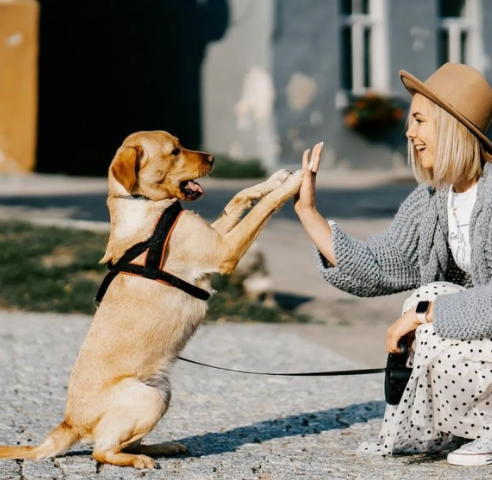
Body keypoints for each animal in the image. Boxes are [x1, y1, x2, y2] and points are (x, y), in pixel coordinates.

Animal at [0, 131, 304, 468]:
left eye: (181, 144)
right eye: (174, 152)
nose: (213, 158)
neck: (145, 205)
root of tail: (69, 423)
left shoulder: (215, 236)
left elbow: (240, 197)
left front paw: (276, 179)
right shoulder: (223, 250)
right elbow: (263, 209)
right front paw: (296, 181)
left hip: (163, 391)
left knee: (126, 443)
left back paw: (161, 447)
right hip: (150, 397)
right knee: (101, 450)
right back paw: (140, 460)